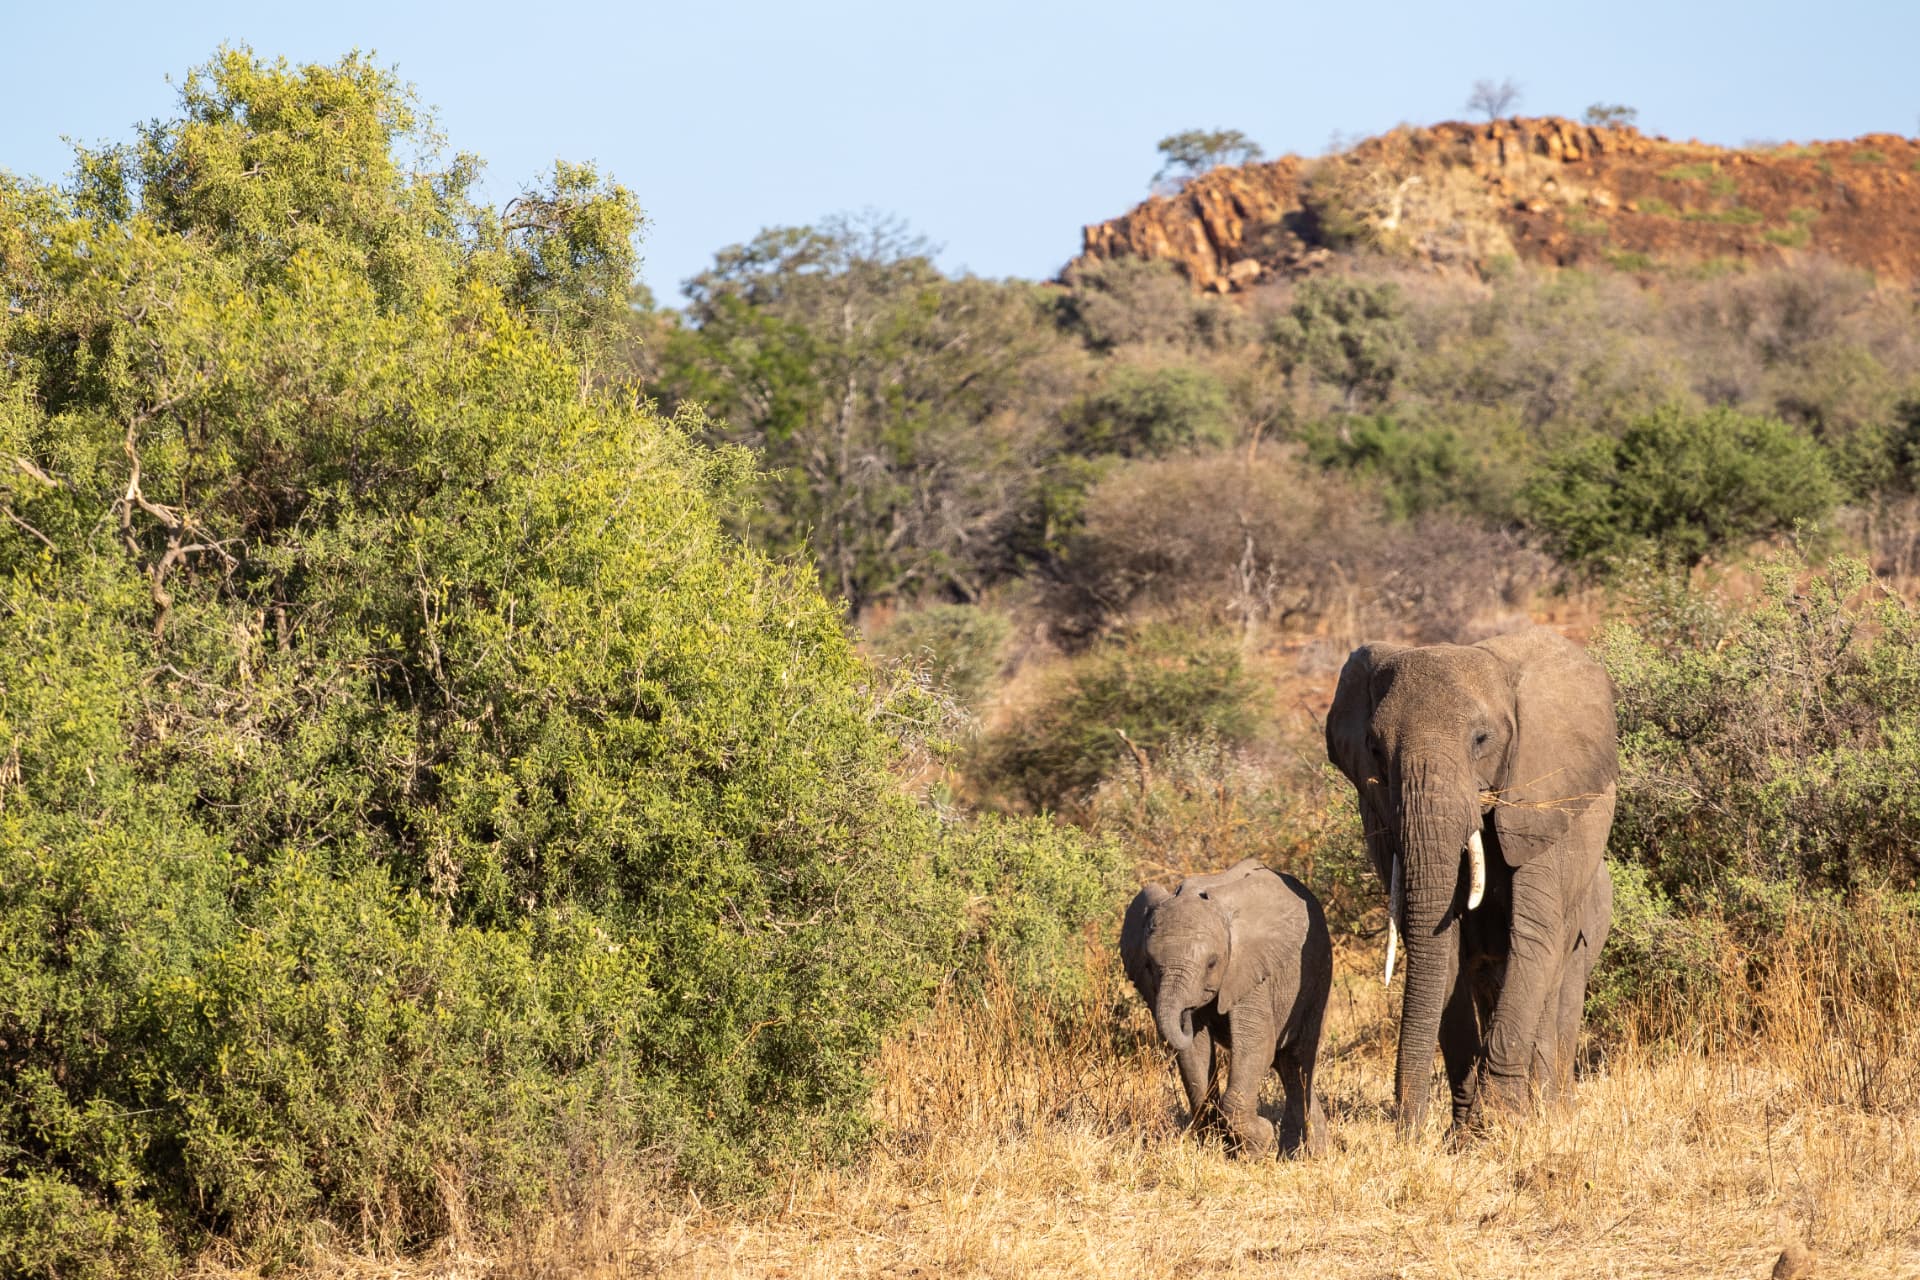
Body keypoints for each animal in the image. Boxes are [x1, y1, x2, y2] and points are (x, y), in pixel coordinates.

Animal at [1120, 858, 1332, 1157]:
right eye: (1149, 966)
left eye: (1212, 963)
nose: (1187, 1014)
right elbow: (1195, 1052)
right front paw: (1218, 1149)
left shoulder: (1250, 970)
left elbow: (1257, 1043)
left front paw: (1257, 1144)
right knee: (1287, 1064)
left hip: (1317, 974)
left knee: (1298, 1058)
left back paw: (1301, 1155)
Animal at [1325, 625, 1616, 1138]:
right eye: (1375, 749)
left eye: (1482, 739)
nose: (1407, 1131)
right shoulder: (1376, 813)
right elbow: (1444, 950)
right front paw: (1461, 1137)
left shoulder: (1544, 802)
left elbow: (1533, 937)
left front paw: (1499, 1127)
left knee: (1561, 982)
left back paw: (1553, 1112)